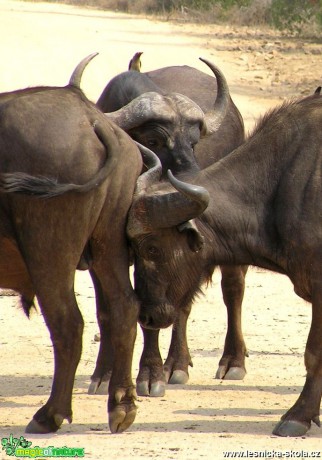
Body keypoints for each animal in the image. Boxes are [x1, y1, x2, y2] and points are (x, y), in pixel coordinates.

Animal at [0, 54, 143, 434]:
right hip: (109, 243)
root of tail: (91, 118)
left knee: (68, 323)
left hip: (48, 250)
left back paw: (50, 413)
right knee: (125, 308)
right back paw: (121, 405)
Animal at [90, 54, 247, 398]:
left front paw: (150, 374)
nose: (192, 179)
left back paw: (228, 361)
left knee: (231, 290)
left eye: (194, 142)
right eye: (153, 140)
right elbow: (108, 310)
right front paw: (103, 373)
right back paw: (177, 362)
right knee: (182, 304)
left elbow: (150, 310)